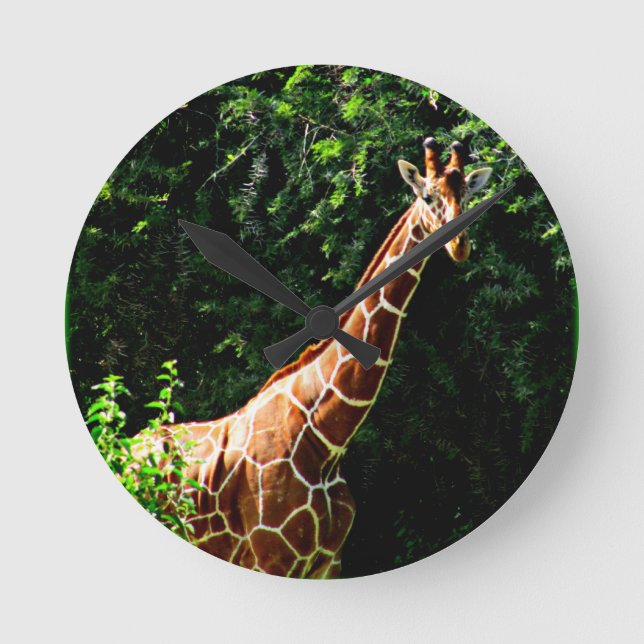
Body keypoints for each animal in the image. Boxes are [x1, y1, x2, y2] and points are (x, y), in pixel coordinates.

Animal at [141, 138, 492, 578]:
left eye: (468, 196)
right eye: (427, 196)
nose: (460, 245)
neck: (327, 440)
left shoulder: (329, 561)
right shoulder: (273, 558)